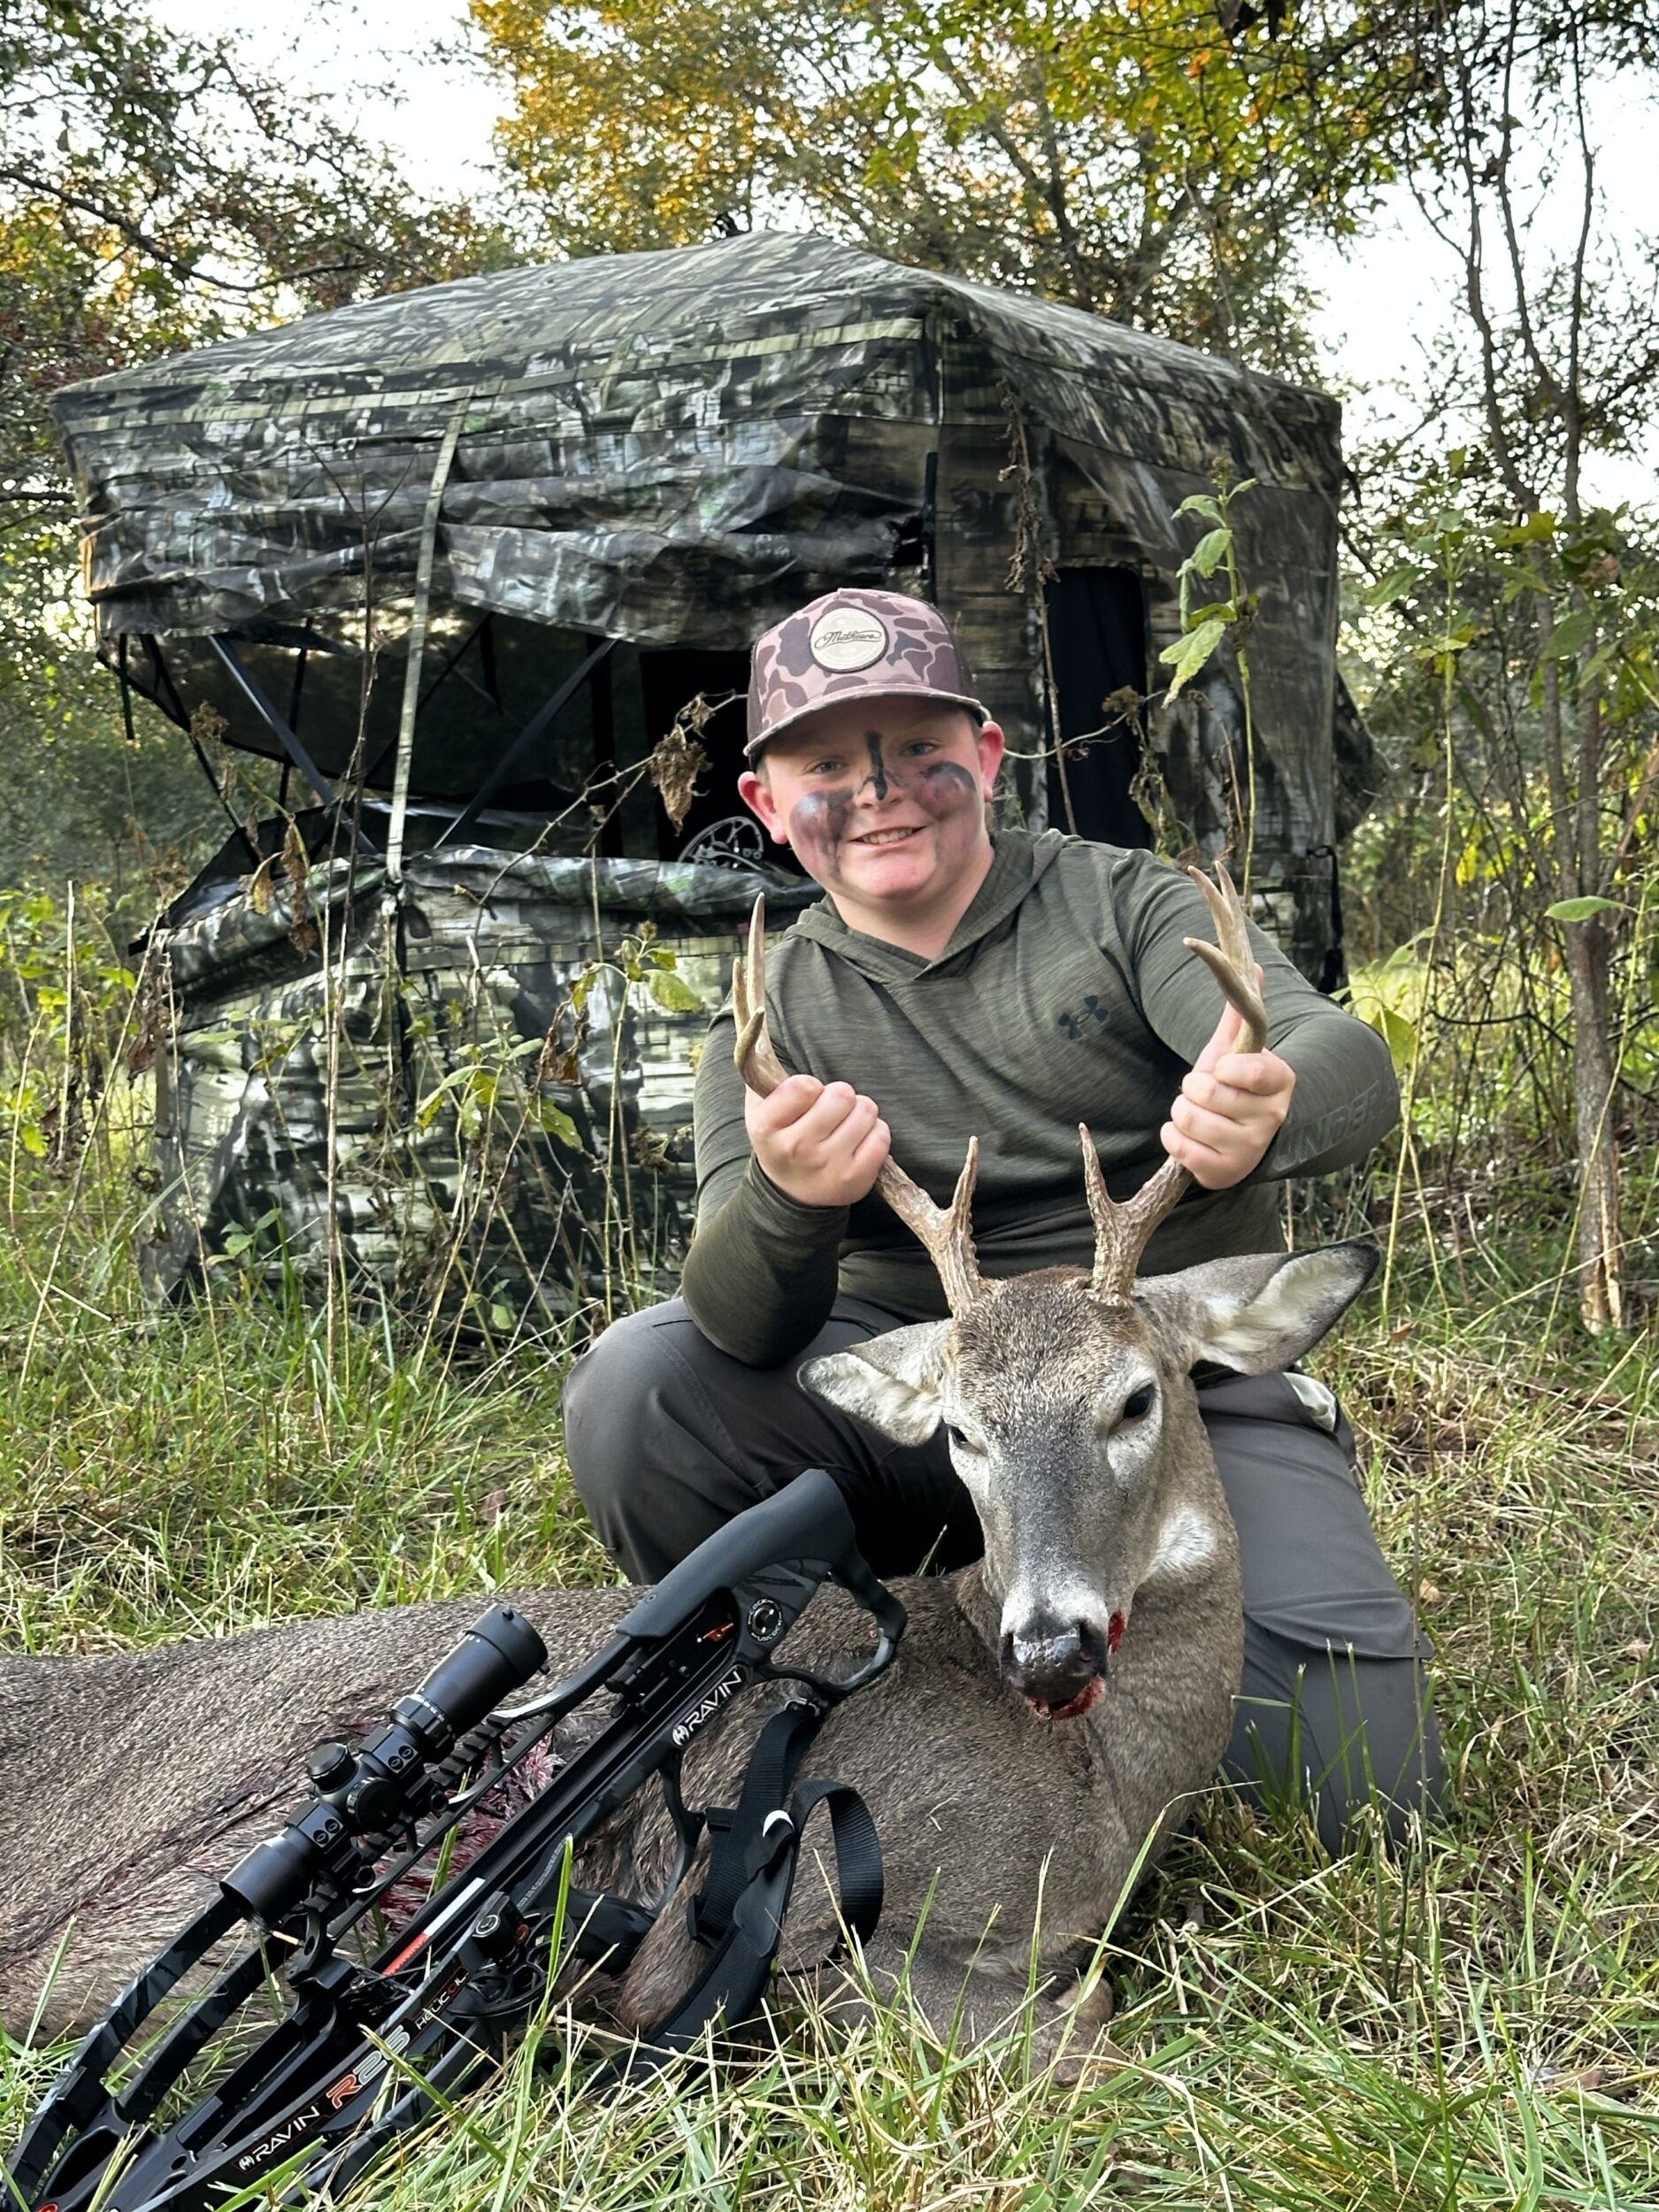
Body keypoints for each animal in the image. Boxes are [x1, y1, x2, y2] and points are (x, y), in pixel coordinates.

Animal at [0, 866, 1377, 2071]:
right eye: (959, 1432)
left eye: (1135, 1397)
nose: (1047, 1646)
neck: (1103, 1792)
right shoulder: (821, 1914)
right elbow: (1091, 2033)